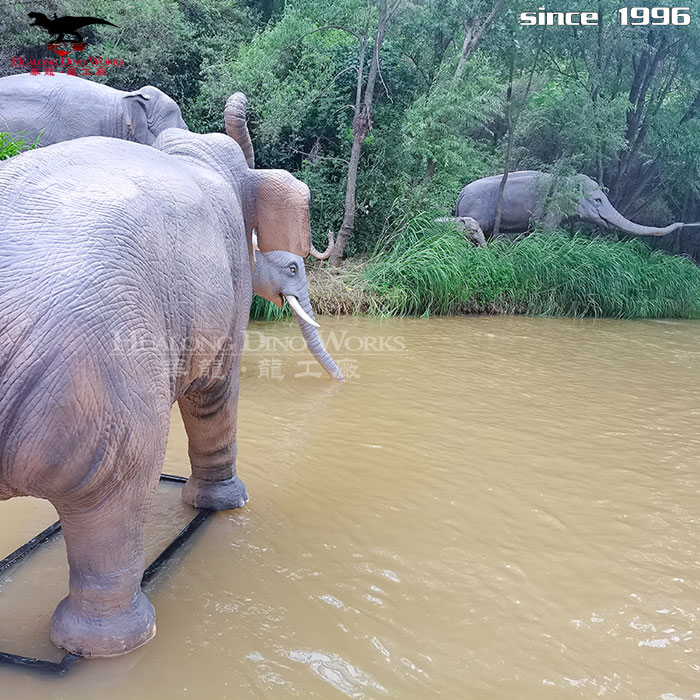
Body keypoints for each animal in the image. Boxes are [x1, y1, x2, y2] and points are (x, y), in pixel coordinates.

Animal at [0, 120, 330, 656]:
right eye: (294, 267)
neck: (190, 148)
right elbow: (215, 392)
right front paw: (227, 507)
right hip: (106, 394)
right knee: (112, 498)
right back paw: (113, 646)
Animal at [454, 172, 688, 241]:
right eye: (598, 200)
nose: (684, 223)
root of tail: (461, 193)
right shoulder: (550, 206)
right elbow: (545, 229)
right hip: (477, 210)